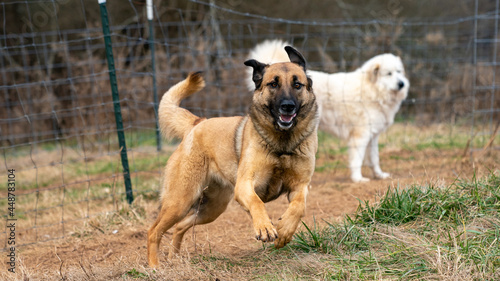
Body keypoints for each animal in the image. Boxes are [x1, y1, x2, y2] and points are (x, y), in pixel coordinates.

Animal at [146, 46, 318, 266]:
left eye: (297, 84)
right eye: (273, 84)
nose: (287, 106)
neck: (282, 143)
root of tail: (197, 123)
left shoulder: (300, 186)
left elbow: (298, 207)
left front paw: (285, 231)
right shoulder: (245, 185)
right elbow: (256, 202)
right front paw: (265, 227)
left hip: (211, 209)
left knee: (179, 226)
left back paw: (175, 259)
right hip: (180, 200)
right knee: (154, 231)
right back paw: (155, 266)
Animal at [247, 40, 410, 183]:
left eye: (399, 72)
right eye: (389, 74)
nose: (402, 84)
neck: (373, 88)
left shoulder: (373, 136)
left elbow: (374, 159)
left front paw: (379, 175)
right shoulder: (360, 136)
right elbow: (357, 159)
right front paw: (358, 179)